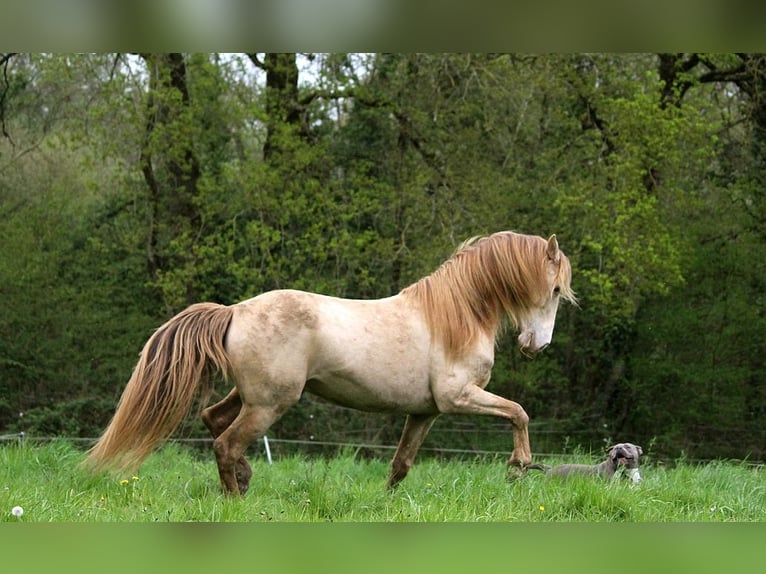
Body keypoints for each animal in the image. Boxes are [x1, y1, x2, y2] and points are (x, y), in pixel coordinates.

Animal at [84, 232, 576, 498]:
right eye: (554, 290)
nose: (537, 346)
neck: (455, 316)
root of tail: (235, 311)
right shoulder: (459, 398)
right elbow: (518, 412)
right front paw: (519, 466)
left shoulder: (426, 411)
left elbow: (401, 465)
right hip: (270, 404)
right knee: (225, 443)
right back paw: (235, 498)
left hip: (250, 397)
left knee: (214, 420)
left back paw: (244, 479)